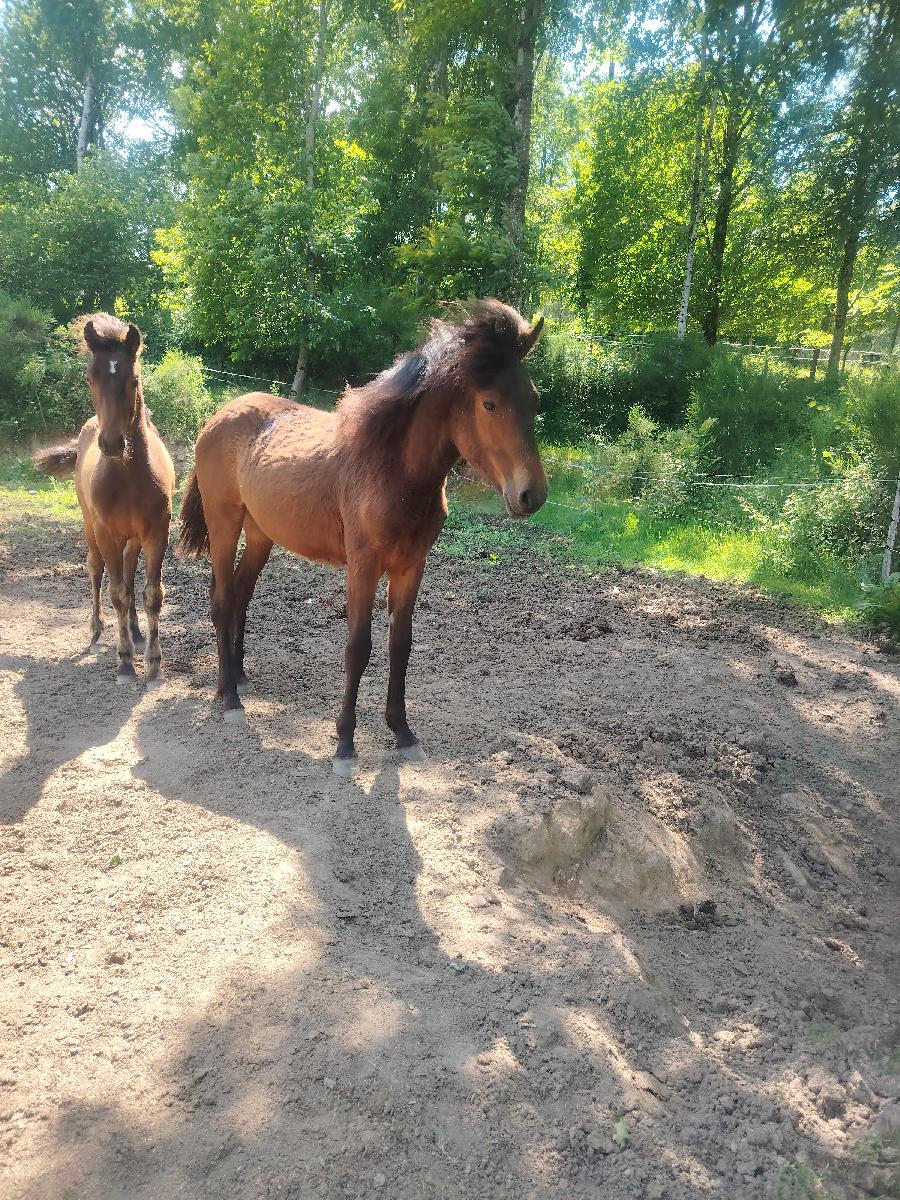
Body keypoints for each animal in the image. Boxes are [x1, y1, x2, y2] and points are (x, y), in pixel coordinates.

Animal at [33, 315, 175, 687]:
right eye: (90, 377)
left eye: (133, 378)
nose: (111, 443)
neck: (127, 477)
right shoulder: (107, 533)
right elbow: (116, 593)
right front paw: (125, 663)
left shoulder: (156, 532)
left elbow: (151, 593)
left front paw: (153, 663)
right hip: (90, 527)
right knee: (97, 571)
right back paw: (97, 630)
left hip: (133, 538)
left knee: (128, 574)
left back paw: (137, 632)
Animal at [177, 299, 547, 775]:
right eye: (489, 403)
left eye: (533, 400)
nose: (531, 494)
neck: (393, 471)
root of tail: (216, 418)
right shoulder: (364, 565)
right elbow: (358, 647)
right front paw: (345, 743)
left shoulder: (411, 566)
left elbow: (400, 645)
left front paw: (403, 733)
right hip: (225, 524)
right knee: (222, 599)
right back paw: (229, 699)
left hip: (261, 533)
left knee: (241, 593)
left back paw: (238, 676)